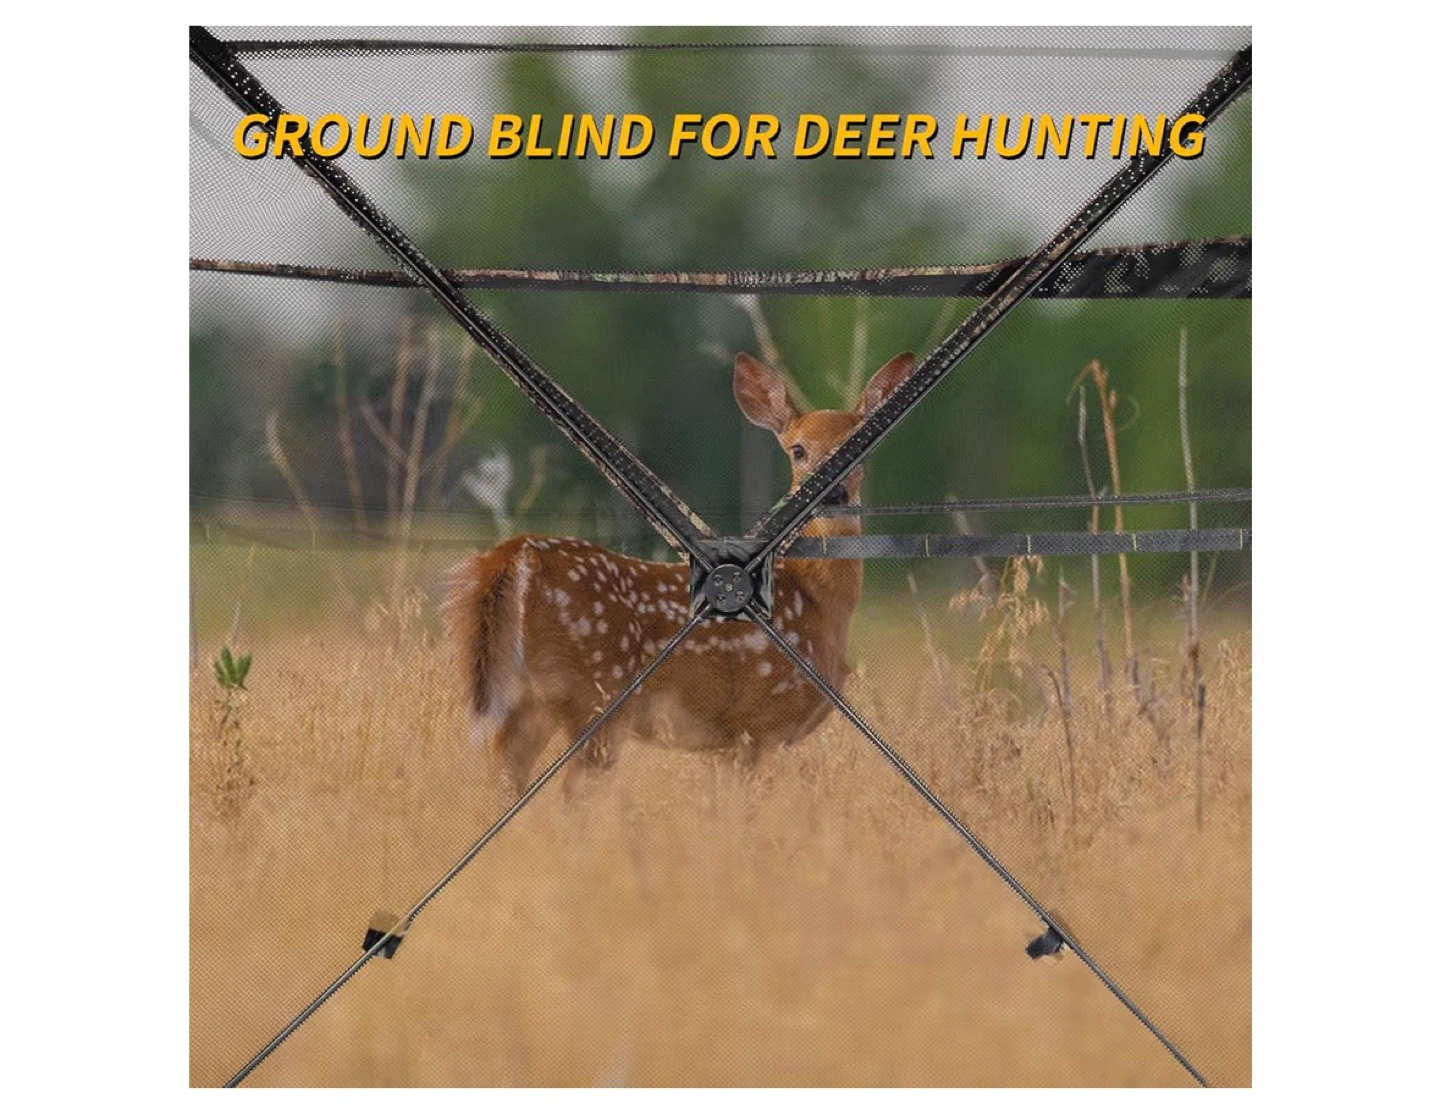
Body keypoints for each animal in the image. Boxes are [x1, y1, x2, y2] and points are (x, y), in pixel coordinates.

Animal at [445, 351, 914, 796]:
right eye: (798, 450)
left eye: (862, 448)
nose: (836, 494)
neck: (818, 601)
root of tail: (510, 556)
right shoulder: (756, 723)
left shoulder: (725, 742)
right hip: (595, 694)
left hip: (523, 698)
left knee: (504, 775)